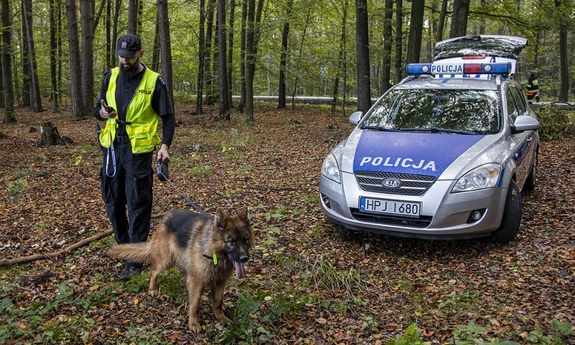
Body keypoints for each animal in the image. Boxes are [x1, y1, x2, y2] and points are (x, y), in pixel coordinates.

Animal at [108, 207, 252, 330]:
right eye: (231, 241)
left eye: (245, 239)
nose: (244, 258)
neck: (214, 253)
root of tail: (166, 216)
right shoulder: (197, 281)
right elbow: (195, 304)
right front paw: (194, 323)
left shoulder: (220, 282)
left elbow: (218, 302)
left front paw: (221, 318)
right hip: (166, 260)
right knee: (154, 271)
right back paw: (152, 289)